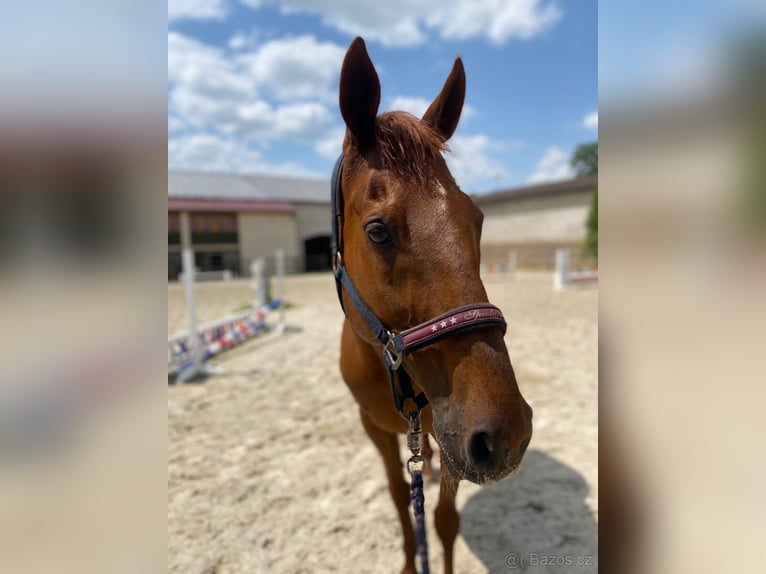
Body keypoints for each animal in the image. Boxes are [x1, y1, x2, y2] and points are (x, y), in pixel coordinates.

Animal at [336, 38, 536, 572]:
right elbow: (400, 503)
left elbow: (442, 522)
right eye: (377, 230)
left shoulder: (449, 436)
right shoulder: (375, 430)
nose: (505, 434)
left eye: (478, 219)